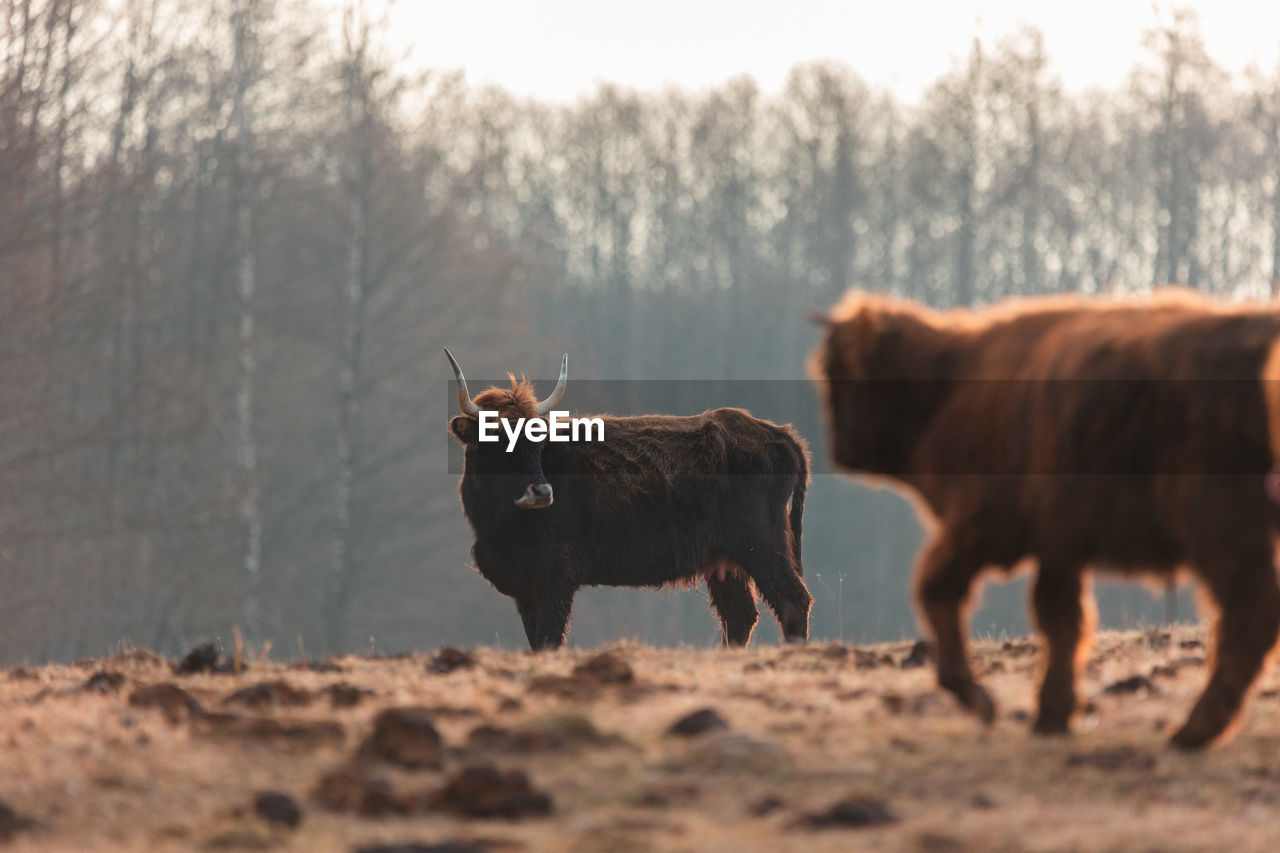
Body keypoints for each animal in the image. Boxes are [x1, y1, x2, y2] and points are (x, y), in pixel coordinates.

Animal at [445, 348, 814, 648]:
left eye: (538, 441)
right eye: (492, 437)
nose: (542, 492)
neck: (499, 527)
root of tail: (779, 434)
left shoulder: (557, 575)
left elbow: (549, 638)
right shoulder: (525, 585)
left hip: (760, 543)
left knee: (792, 600)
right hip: (725, 559)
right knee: (739, 615)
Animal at [814, 286, 1280, 742]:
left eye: (840, 374)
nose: (841, 450)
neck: (953, 379)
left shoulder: (985, 524)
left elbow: (938, 587)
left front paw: (979, 698)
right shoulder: (1056, 546)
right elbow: (1062, 620)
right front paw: (1052, 715)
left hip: (1217, 525)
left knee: (1249, 613)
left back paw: (1192, 732)